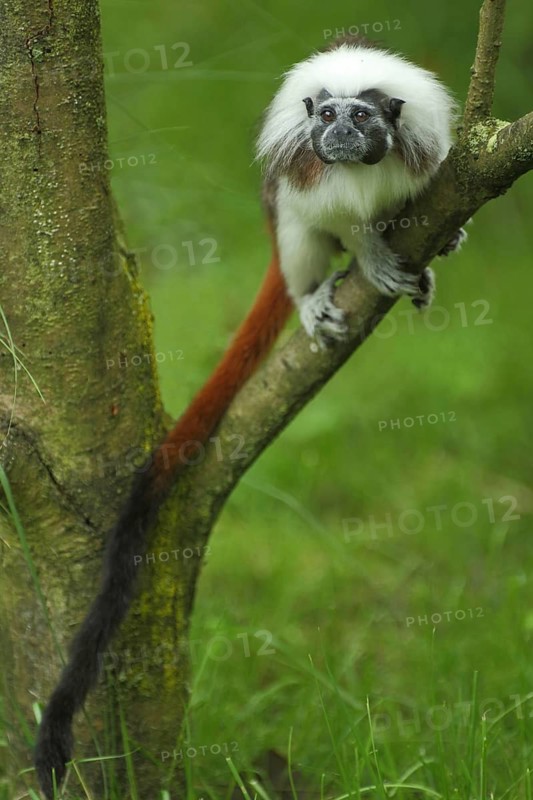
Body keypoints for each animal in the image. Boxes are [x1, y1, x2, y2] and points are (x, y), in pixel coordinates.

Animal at [34, 35, 465, 797]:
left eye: (361, 116)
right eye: (326, 115)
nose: (339, 133)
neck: (363, 167)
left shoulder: (427, 159)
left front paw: (442, 241)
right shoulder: (309, 171)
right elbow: (336, 219)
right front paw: (370, 250)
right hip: (286, 225)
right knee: (301, 237)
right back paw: (315, 292)